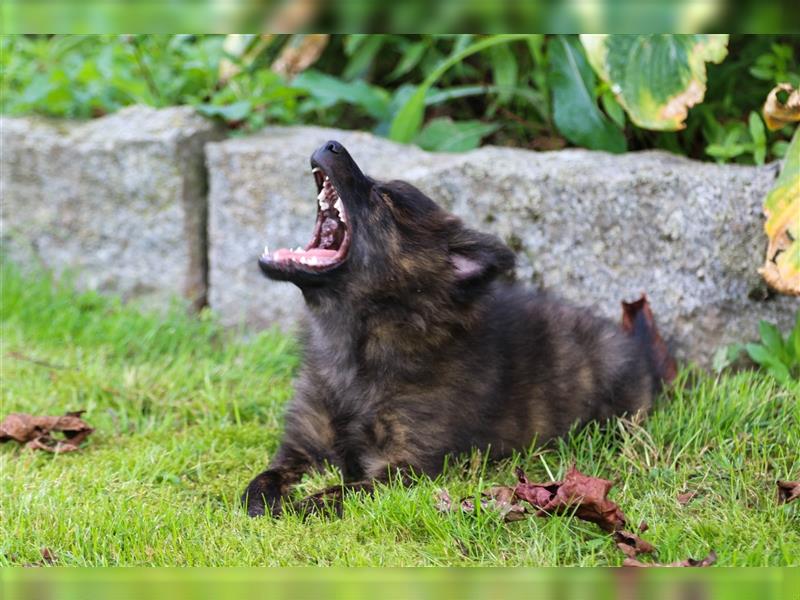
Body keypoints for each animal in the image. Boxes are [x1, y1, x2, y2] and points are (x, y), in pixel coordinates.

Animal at [244, 139, 664, 516]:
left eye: (386, 198)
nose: (331, 142)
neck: (357, 341)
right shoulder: (302, 445)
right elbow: (265, 476)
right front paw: (261, 500)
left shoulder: (405, 466)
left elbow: (342, 492)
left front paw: (302, 506)